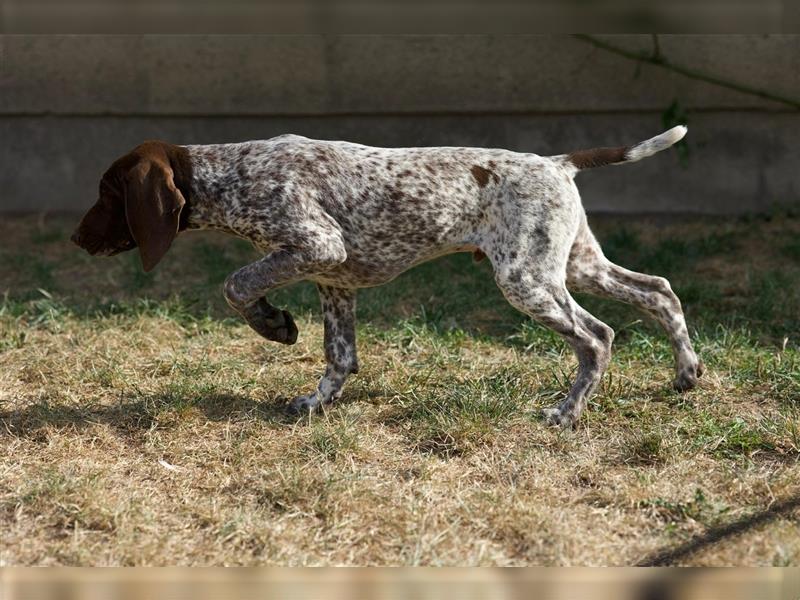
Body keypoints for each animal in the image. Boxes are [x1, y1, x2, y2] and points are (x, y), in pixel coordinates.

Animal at [72, 126, 704, 426]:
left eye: (107, 193)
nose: (77, 239)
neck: (231, 175)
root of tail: (557, 162)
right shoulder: (333, 278)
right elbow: (339, 356)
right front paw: (317, 402)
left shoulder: (314, 245)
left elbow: (237, 284)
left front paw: (273, 325)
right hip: (574, 263)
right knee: (660, 292)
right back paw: (686, 373)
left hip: (527, 279)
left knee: (597, 336)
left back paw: (566, 414)